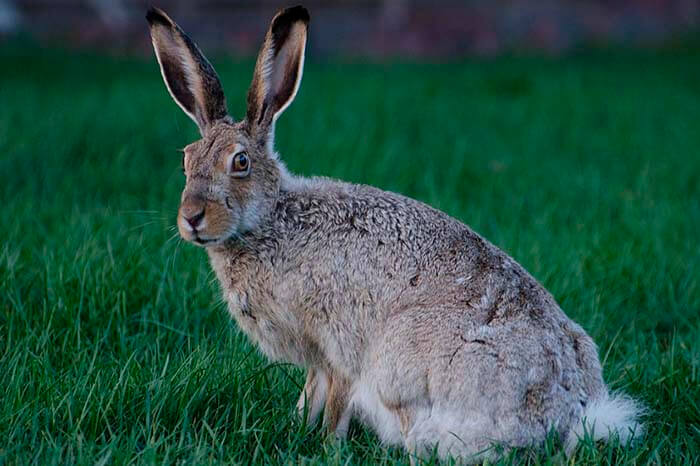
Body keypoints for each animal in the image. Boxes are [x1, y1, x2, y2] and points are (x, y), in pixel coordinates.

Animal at [146, 5, 644, 462]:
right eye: (186, 159)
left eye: (241, 162)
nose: (191, 217)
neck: (272, 220)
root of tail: (566, 412)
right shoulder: (318, 359)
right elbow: (310, 394)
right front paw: (296, 428)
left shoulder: (339, 344)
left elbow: (335, 402)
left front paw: (326, 447)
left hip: (400, 366)